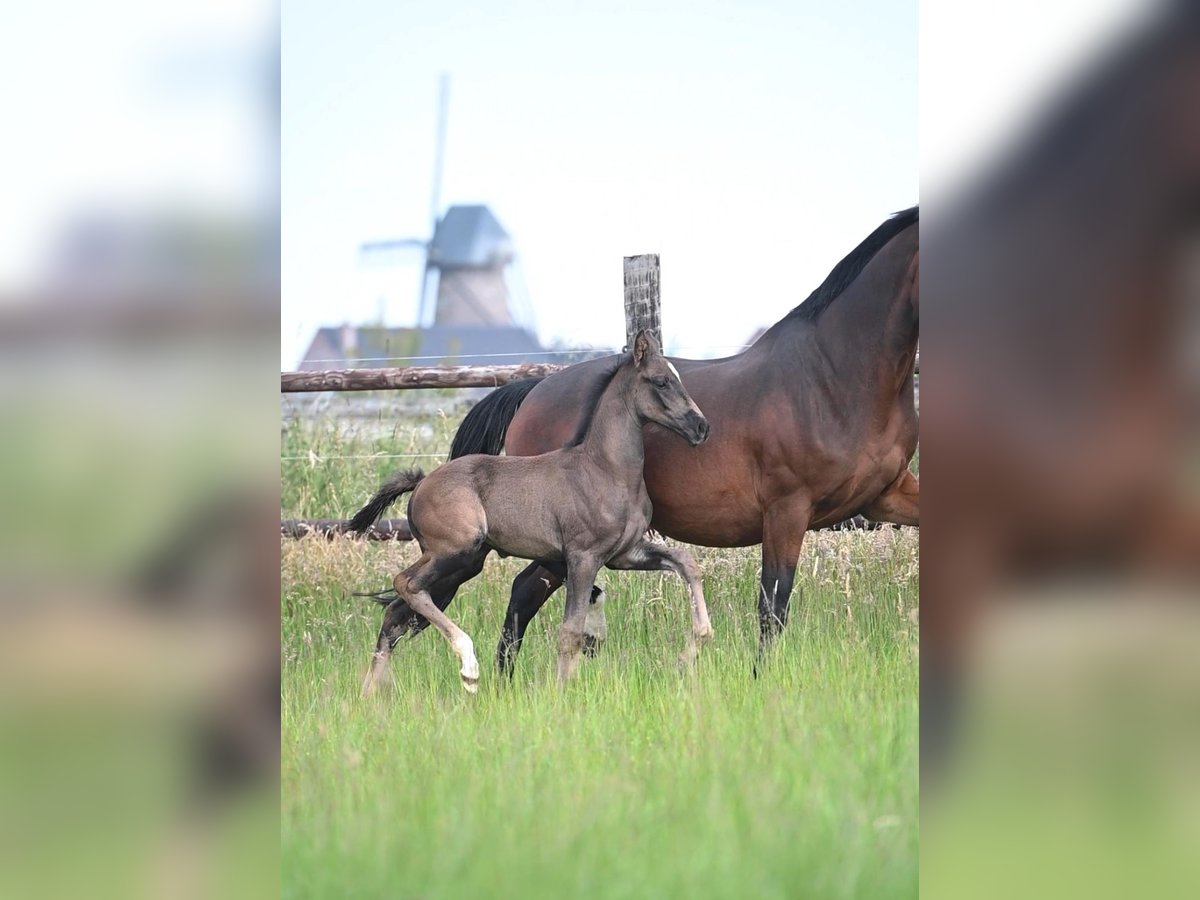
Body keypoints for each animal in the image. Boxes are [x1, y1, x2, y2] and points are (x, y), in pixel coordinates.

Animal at [345, 336, 710, 696]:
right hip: (455, 551)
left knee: (395, 613)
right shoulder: (583, 557)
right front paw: (562, 693)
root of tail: (421, 482)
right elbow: (570, 632)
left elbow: (685, 563)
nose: (701, 427)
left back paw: (370, 695)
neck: (605, 470)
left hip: (464, 561)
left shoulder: (624, 555)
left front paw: (695, 645)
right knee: (405, 584)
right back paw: (468, 668)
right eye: (662, 381)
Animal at [451, 207, 916, 676]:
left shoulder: (884, 497)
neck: (832, 378)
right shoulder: (787, 511)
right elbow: (773, 607)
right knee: (524, 592)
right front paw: (759, 680)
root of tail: (532, 390)